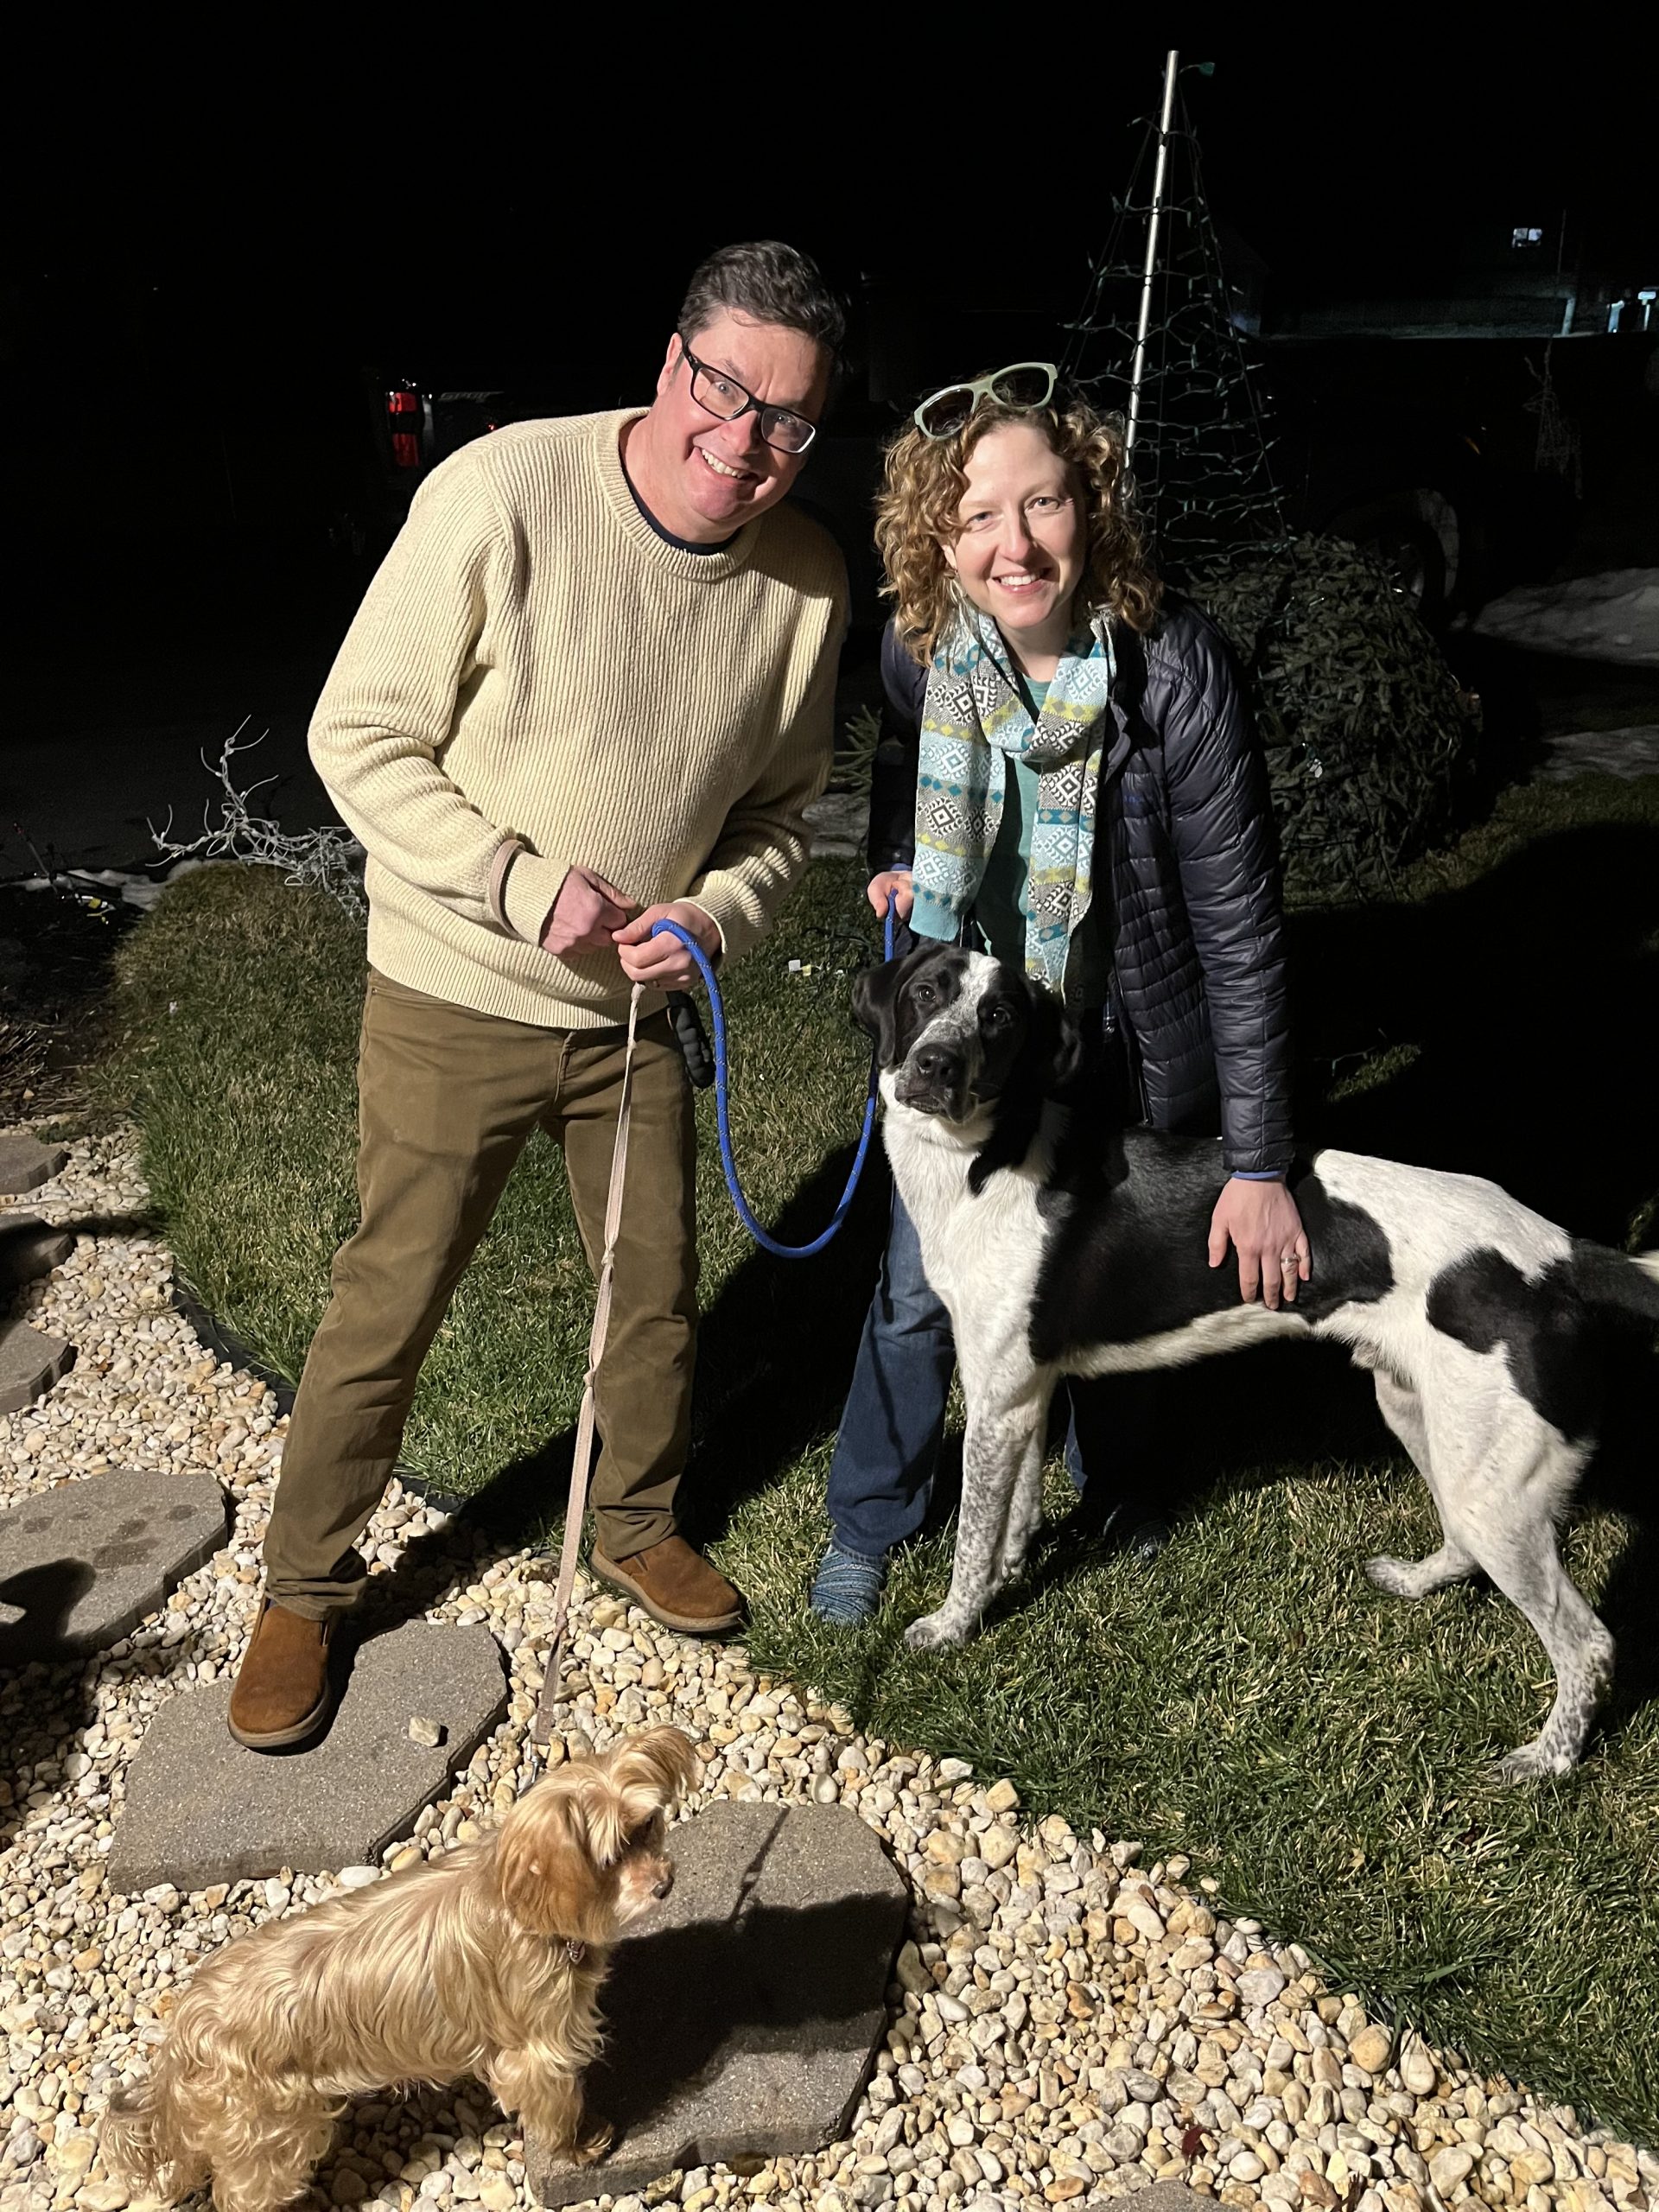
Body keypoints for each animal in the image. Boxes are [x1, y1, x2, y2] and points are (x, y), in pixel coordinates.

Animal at [102, 1726, 699, 2212]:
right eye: (613, 1855)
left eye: (649, 1825)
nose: (664, 1883)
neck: (524, 1901)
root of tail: (183, 2033)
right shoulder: (538, 2050)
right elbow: (557, 2103)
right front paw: (579, 2146)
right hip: (272, 2133)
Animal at [853, 942, 1659, 1781]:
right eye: (925, 993)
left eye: (1000, 1017)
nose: (937, 1063)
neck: (984, 1164)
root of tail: (1561, 1254)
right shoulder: (1024, 1394)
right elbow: (1013, 1517)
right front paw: (1006, 1580)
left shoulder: (997, 1397)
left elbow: (973, 1537)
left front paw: (951, 1626)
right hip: (1429, 1422)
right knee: (1466, 1544)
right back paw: (1414, 1583)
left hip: (1491, 1485)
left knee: (1588, 1644)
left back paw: (1547, 1762)